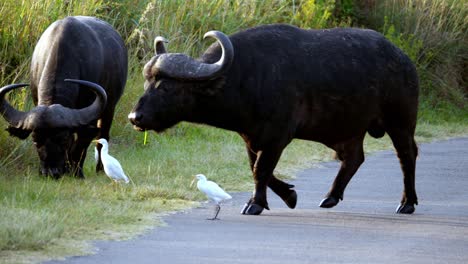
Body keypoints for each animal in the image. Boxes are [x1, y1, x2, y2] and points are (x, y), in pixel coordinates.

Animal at [0, 16, 128, 177]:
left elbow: (81, 144)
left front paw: (76, 171)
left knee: (102, 136)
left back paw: (99, 169)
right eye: (35, 140)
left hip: (109, 108)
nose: (50, 172)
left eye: (63, 139)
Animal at [129, 23, 420, 216]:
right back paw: (330, 197)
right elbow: (256, 168)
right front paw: (289, 195)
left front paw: (255, 203)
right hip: (346, 130)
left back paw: (407, 202)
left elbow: (261, 169)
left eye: (167, 87)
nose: (135, 116)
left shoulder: (277, 137)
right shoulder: (251, 136)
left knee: (406, 155)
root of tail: (404, 60)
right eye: (147, 82)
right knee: (353, 158)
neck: (247, 76)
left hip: (400, 122)